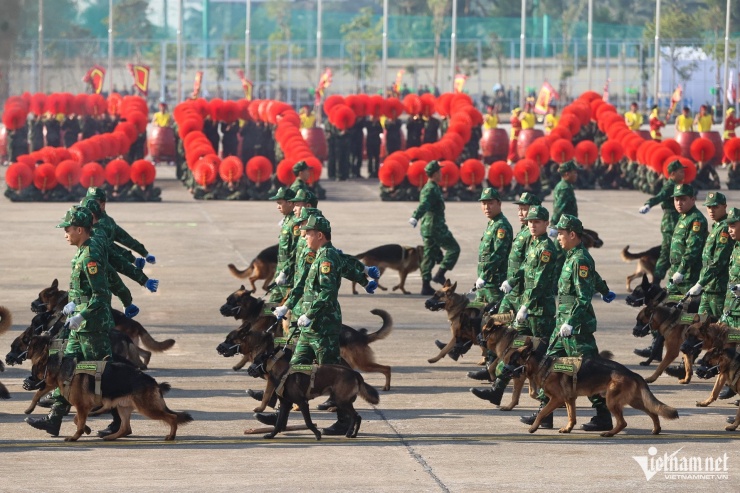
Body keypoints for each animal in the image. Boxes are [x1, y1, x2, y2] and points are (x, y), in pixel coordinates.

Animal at [26, 332, 194, 440]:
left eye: (34, 370)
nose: (27, 383)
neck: (61, 367)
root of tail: (153, 381)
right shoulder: (85, 408)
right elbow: (77, 420)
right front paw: (86, 429)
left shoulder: (82, 407)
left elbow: (78, 422)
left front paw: (75, 437)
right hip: (123, 407)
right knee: (126, 428)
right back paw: (111, 437)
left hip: (147, 408)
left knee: (172, 417)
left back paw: (171, 436)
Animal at [247, 330, 378, 438]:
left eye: (256, 360)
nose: (248, 370)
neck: (283, 372)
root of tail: (354, 372)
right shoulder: (285, 404)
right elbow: (279, 423)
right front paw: (271, 435)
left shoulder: (303, 403)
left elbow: (308, 422)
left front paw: (317, 434)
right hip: (342, 400)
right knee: (357, 416)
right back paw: (353, 433)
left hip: (341, 401)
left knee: (355, 415)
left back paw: (349, 433)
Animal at [502, 336, 676, 436]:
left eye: (513, 361)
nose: (502, 371)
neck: (542, 365)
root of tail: (631, 372)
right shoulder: (569, 399)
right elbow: (571, 416)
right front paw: (568, 428)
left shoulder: (557, 399)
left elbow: (542, 412)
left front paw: (534, 427)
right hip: (633, 401)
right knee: (652, 411)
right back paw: (656, 429)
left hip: (612, 401)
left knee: (623, 422)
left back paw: (609, 433)